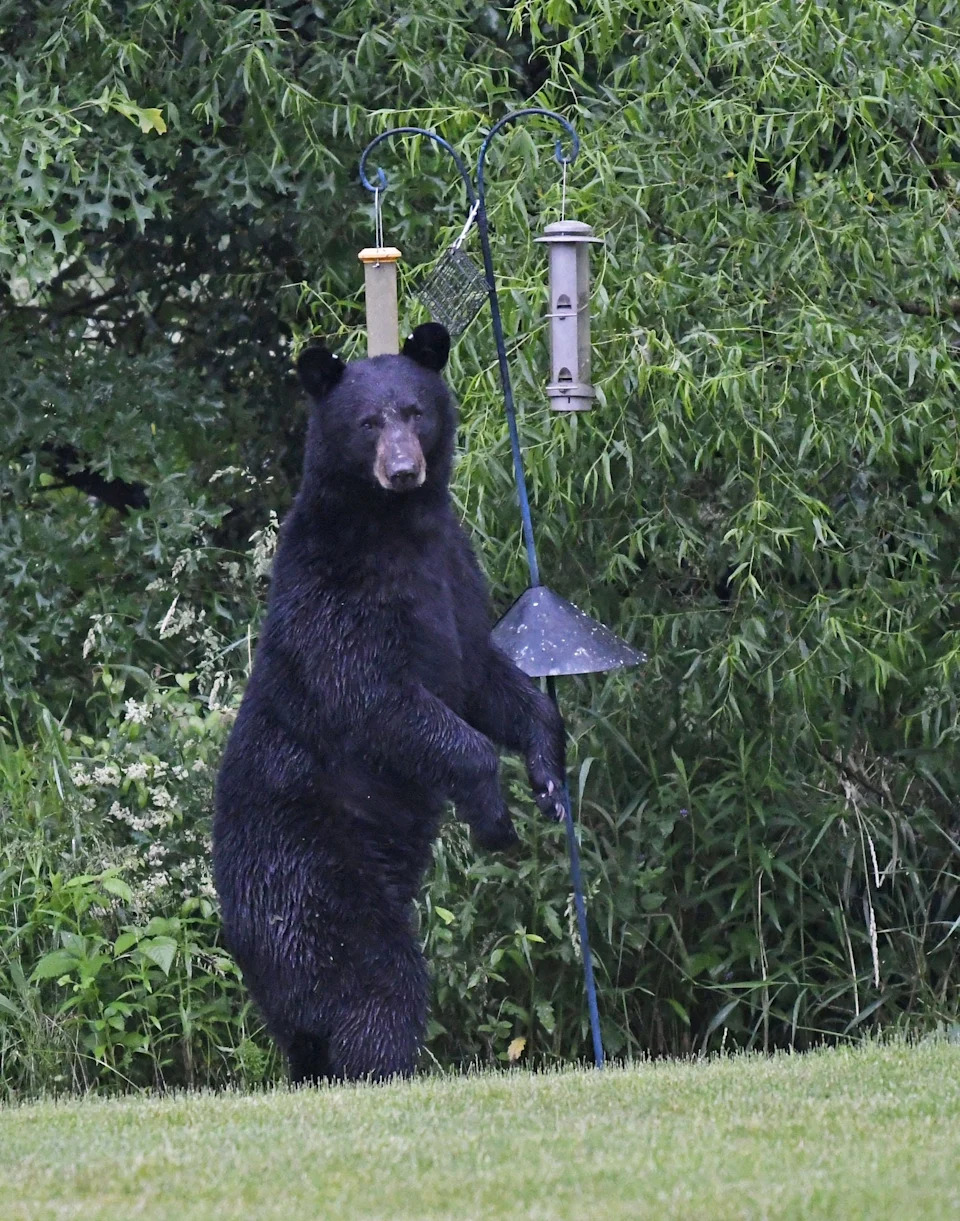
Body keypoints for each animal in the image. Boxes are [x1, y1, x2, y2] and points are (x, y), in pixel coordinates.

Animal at [212, 322, 566, 1084]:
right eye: (367, 422)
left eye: (414, 411)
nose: (403, 469)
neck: (399, 527)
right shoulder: (338, 592)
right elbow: (381, 697)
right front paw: (494, 817)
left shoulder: (457, 573)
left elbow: (485, 673)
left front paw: (549, 778)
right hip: (312, 878)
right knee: (374, 984)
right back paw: (384, 1067)